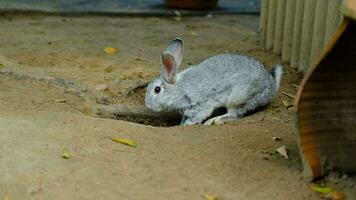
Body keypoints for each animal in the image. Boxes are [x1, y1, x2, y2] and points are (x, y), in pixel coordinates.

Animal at [144, 38, 280, 125]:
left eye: (157, 89)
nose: (148, 105)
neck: (178, 89)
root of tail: (272, 85)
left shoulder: (200, 105)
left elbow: (197, 117)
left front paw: (188, 125)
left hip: (239, 97)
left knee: (235, 115)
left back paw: (215, 120)